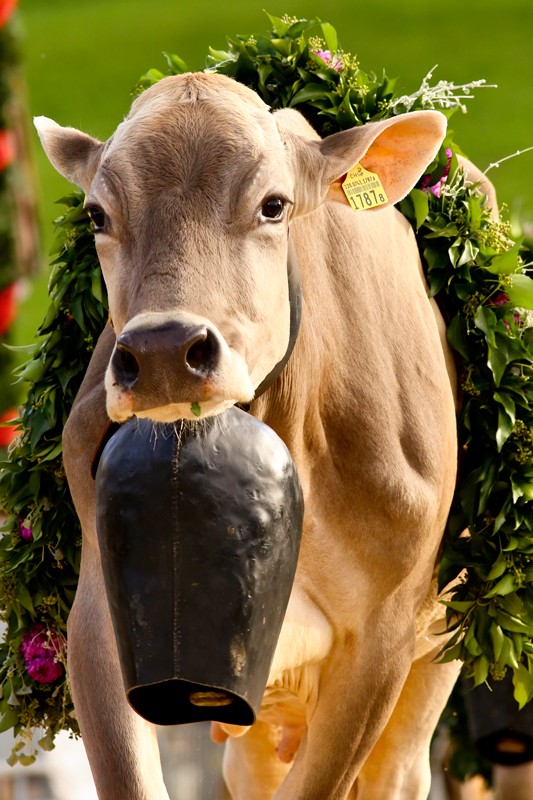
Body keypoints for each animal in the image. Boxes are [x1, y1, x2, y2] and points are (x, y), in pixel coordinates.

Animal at [32, 72, 490, 796]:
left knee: (398, 770)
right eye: (96, 215)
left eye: (274, 205)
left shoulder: (381, 638)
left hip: (440, 649)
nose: (164, 351)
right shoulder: (100, 608)